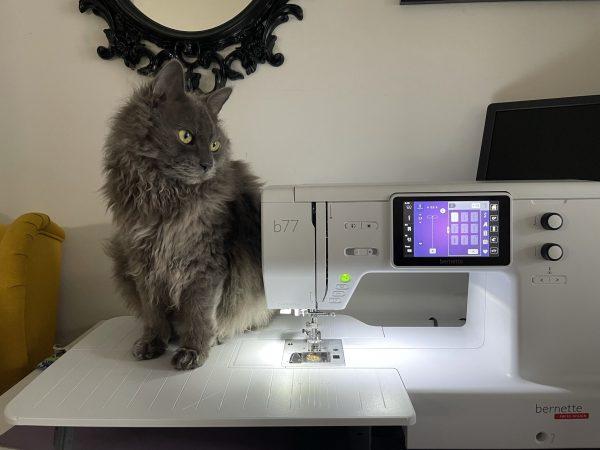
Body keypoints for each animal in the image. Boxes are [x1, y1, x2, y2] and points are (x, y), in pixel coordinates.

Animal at [103, 59, 272, 370]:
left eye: (215, 145)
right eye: (186, 136)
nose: (208, 164)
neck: (164, 199)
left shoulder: (204, 264)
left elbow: (199, 312)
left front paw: (194, 349)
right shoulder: (142, 261)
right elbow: (153, 312)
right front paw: (154, 343)